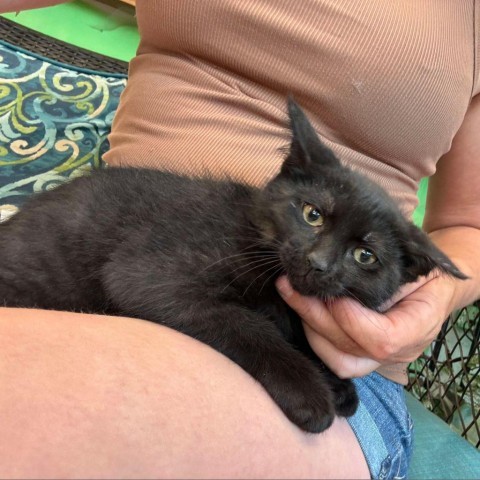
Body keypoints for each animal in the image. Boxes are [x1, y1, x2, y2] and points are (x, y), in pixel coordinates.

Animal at [0, 99, 464, 434]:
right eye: (312, 214)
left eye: (365, 256)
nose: (318, 263)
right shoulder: (147, 274)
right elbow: (247, 323)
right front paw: (311, 392)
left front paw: (338, 384)